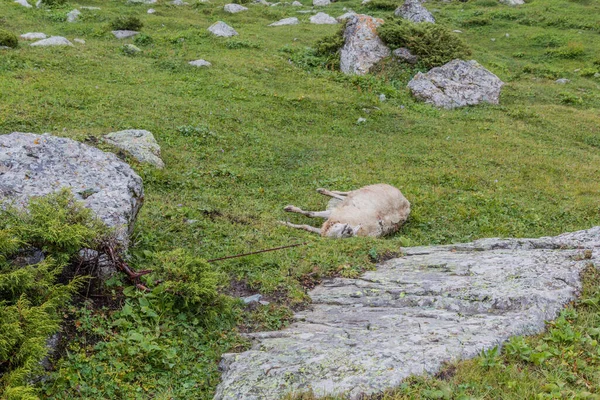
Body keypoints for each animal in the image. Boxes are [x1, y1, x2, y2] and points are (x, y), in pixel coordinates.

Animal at [278, 184, 410, 238]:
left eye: (344, 236)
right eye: (343, 229)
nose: (349, 230)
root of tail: (406, 201)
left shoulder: (333, 217)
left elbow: (307, 224)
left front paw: (283, 222)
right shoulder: (335, 214)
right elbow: (309, 216)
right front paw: (285, 216)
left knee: (345, 197)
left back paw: (324, 191)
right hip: (367, 189)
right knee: (348, 193)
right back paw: (323, 190)